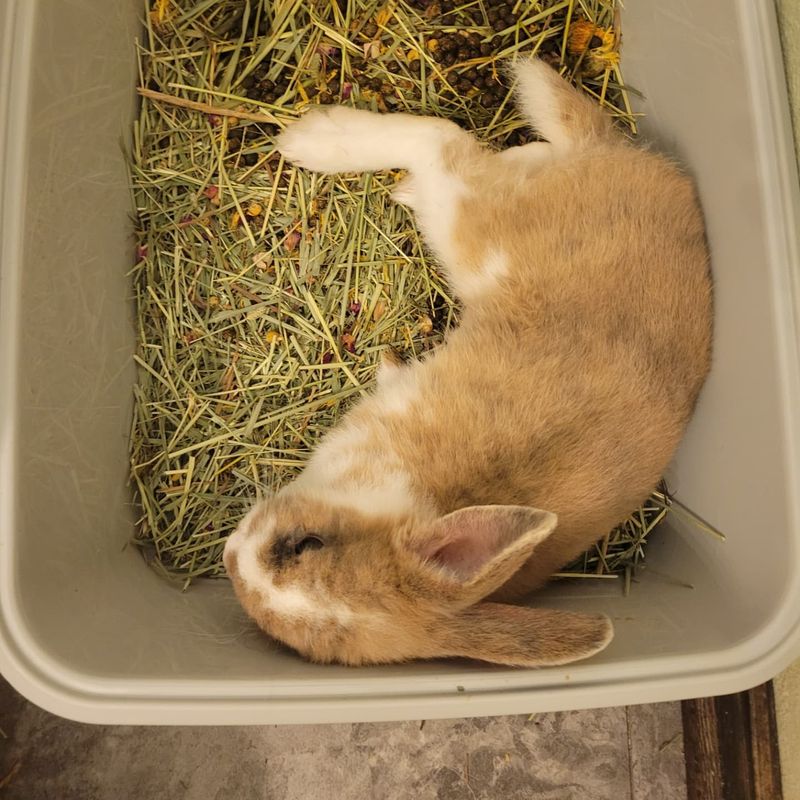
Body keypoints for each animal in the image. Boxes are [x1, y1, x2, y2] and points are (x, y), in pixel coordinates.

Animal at [223, 59, 713, 668]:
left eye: (305, 545)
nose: (230, 556)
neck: (418, 500)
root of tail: (627, 157)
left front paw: (387, 366)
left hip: (468, 221)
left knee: (441, 139)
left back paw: (311, 139)